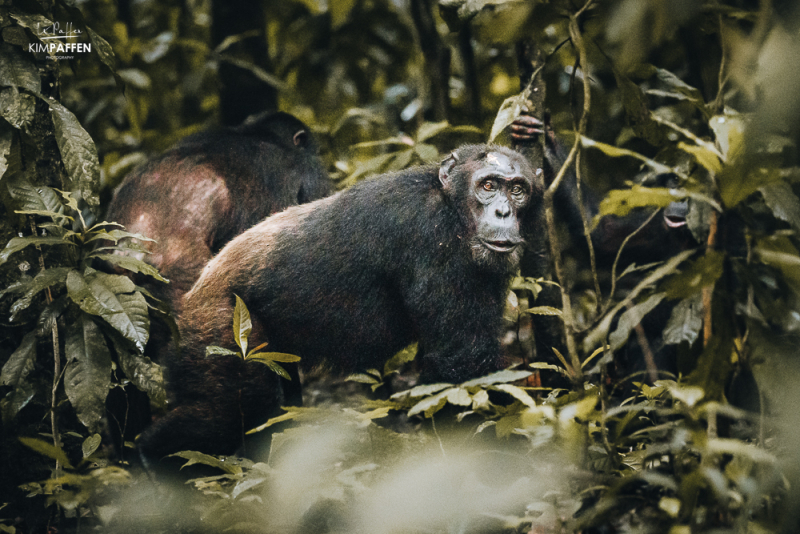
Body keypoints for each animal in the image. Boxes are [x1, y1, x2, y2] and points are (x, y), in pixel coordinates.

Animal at [139, 144, 544, 462]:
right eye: (488, 185)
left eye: (518, 190)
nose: (503, 212)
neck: (453, 209)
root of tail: (191, 295)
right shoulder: (432, 238)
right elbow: (458, 367)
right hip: (221, 331)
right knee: (234, 409)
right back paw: (150, 457)